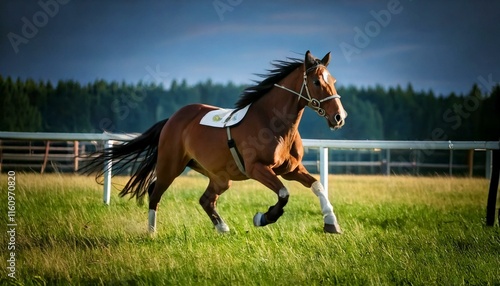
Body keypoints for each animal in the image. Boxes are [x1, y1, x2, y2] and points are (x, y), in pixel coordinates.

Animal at [83, 50, 348, 235]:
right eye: (316, 82)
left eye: (333, 80)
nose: (339, 117)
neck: (273, 124)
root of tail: (173, 119)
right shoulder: (257, 169)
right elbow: (283, 193)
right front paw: (263, 218)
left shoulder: (290, 169)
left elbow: (317, 186)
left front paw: (331, 224)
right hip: (170, 166)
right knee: (154, 192)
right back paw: (151, 232)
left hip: (220, 177)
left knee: (205, 199)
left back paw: (222, 227)